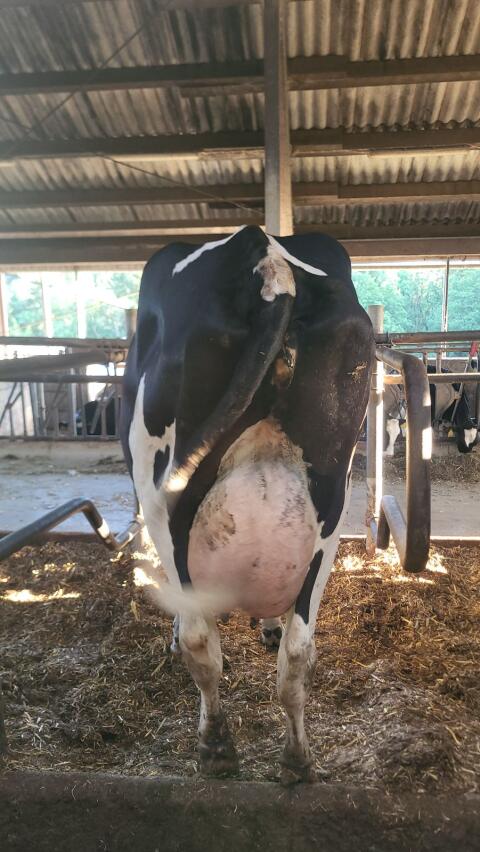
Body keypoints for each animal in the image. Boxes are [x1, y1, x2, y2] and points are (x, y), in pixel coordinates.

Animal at [120, 225, 374, 782]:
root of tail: (267, 257)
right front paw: (269, 627)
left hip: (166, 499)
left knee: (200, 643)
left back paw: (216, 748)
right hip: (331, 506)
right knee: (299, 653)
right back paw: (298, 761)